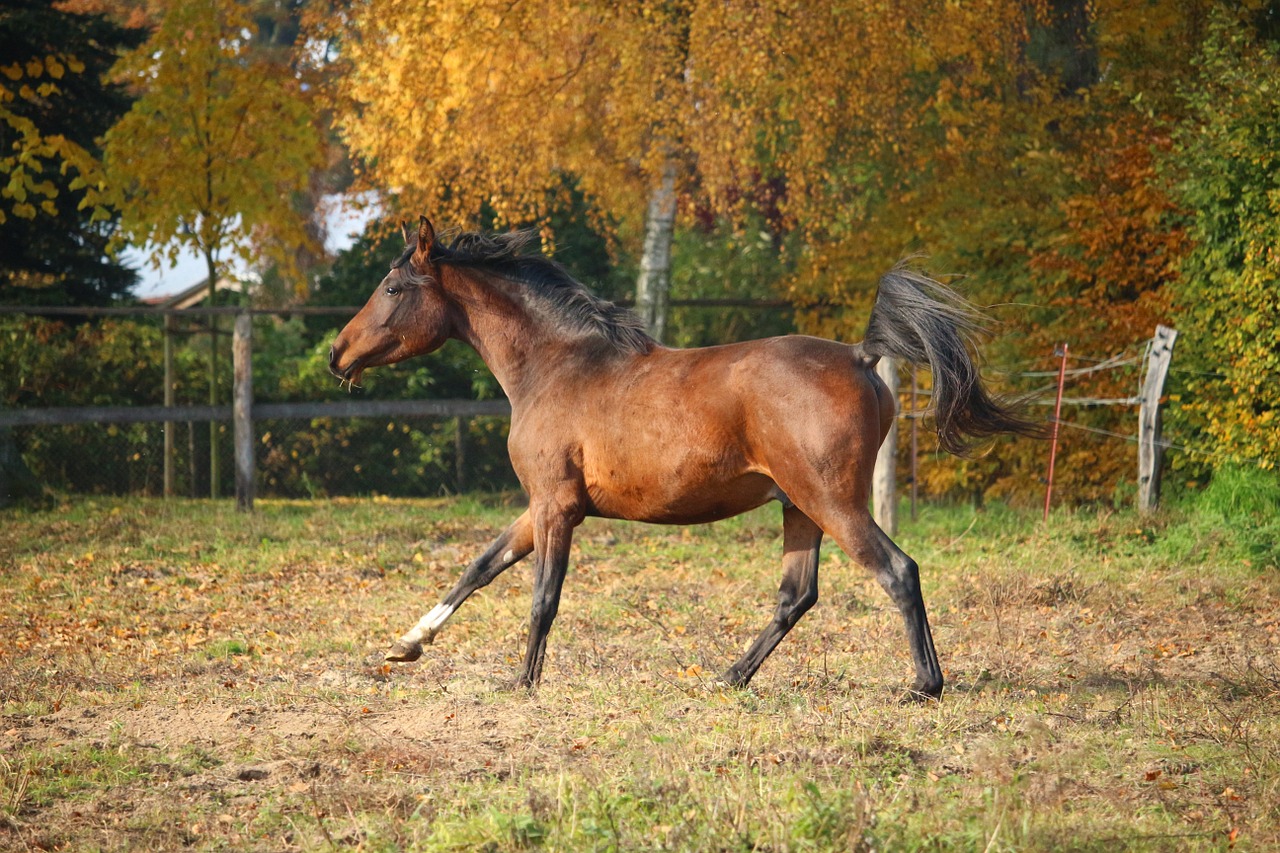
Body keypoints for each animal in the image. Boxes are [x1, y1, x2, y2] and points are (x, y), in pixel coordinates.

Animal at [332, 216, 1039, 696]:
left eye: (392, 287)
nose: (339, 354)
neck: (557, 365)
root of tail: (863, 356)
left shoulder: (556, 506)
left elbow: (541, 597)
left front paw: (522, 682)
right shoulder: (542, 506)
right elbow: (480, 567)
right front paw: (405, 646)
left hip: (834, 502)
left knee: (897, 571)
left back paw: (925, 685)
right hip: (799, 508)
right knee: (797, 596)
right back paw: (730, 676)